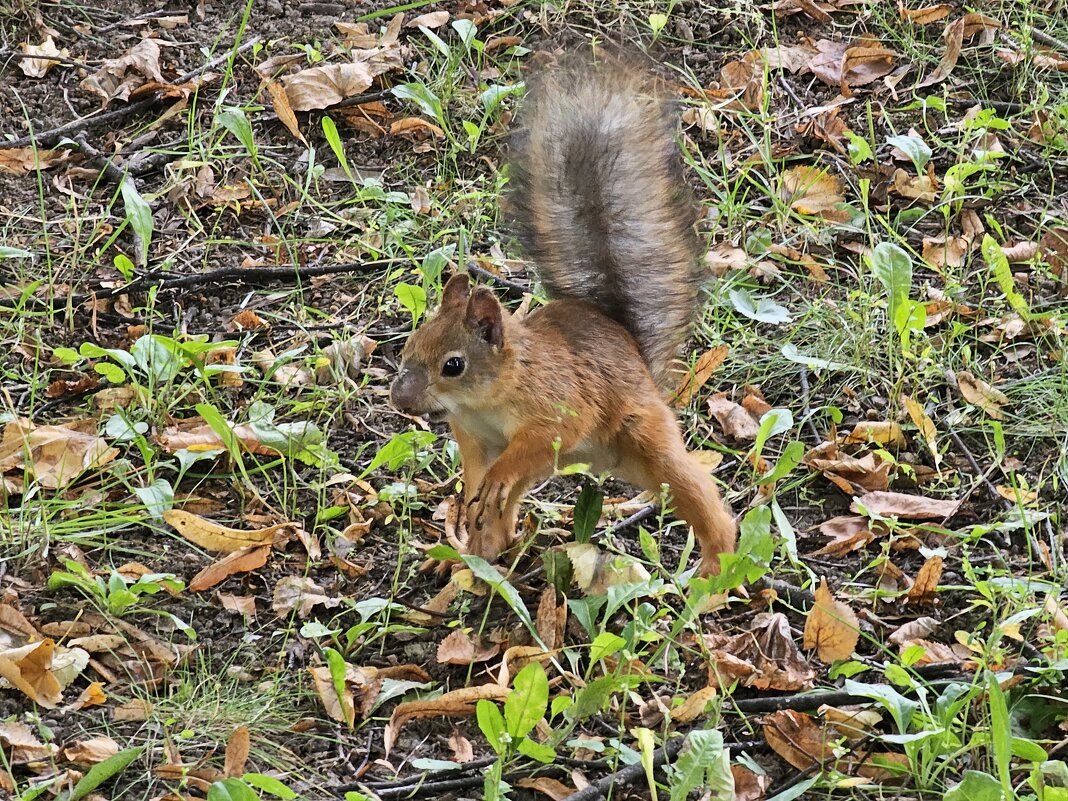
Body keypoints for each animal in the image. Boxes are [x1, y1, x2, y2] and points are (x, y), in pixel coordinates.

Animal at [388, 53, 739, 576]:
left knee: (698, 495)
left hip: (645, 437)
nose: (400, 398)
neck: (489, 396)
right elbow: (476, 470)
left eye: (453, 365)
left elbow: (540, 440)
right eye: (408, 347)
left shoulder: (558, 405)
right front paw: (470, 494)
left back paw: (718, 563)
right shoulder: (473, 434)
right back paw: (477, 553)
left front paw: (495, 477)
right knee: (503, 512)